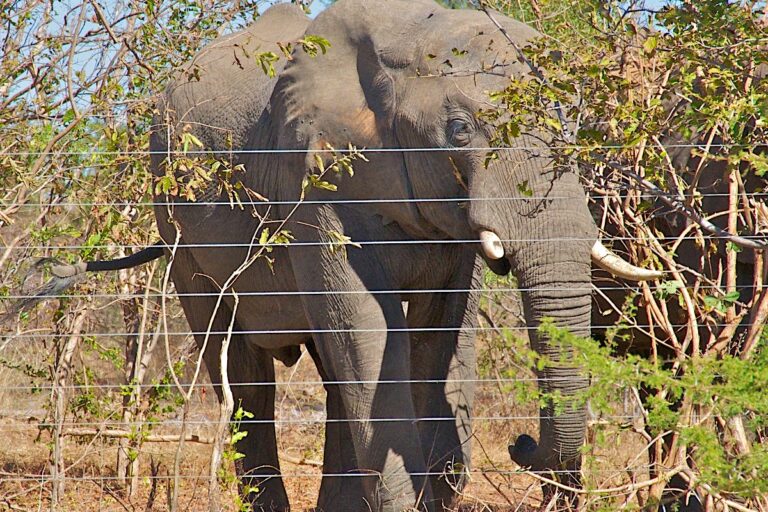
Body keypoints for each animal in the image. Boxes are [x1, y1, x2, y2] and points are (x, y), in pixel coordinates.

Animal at [11, 1, 659, 510]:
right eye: (458, 129)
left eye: (572, 125)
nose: (521, 443)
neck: (407, 35)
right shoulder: (316, 176)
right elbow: (368, 333)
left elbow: (431, 342)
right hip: (173, 217)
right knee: (246, 377)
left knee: (332, 378)